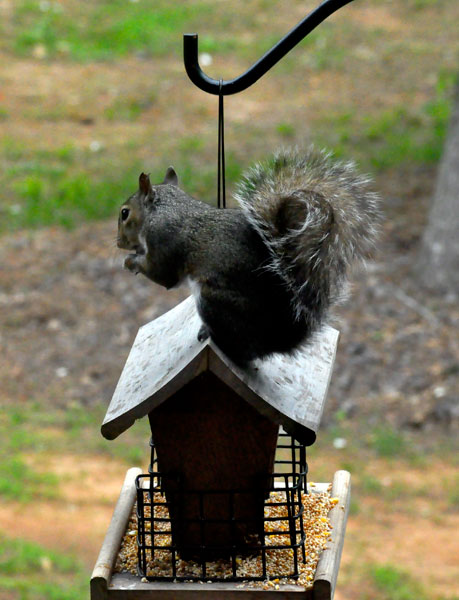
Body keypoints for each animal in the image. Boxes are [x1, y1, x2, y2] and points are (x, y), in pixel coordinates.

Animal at [117, 148, 380, 368]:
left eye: (125, 213)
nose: (118, 243)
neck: (166, 208)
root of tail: (280, 339)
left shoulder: (164, 242)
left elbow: (163, 276)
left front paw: (131, 261)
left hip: (213, 300)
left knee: (242, 352)